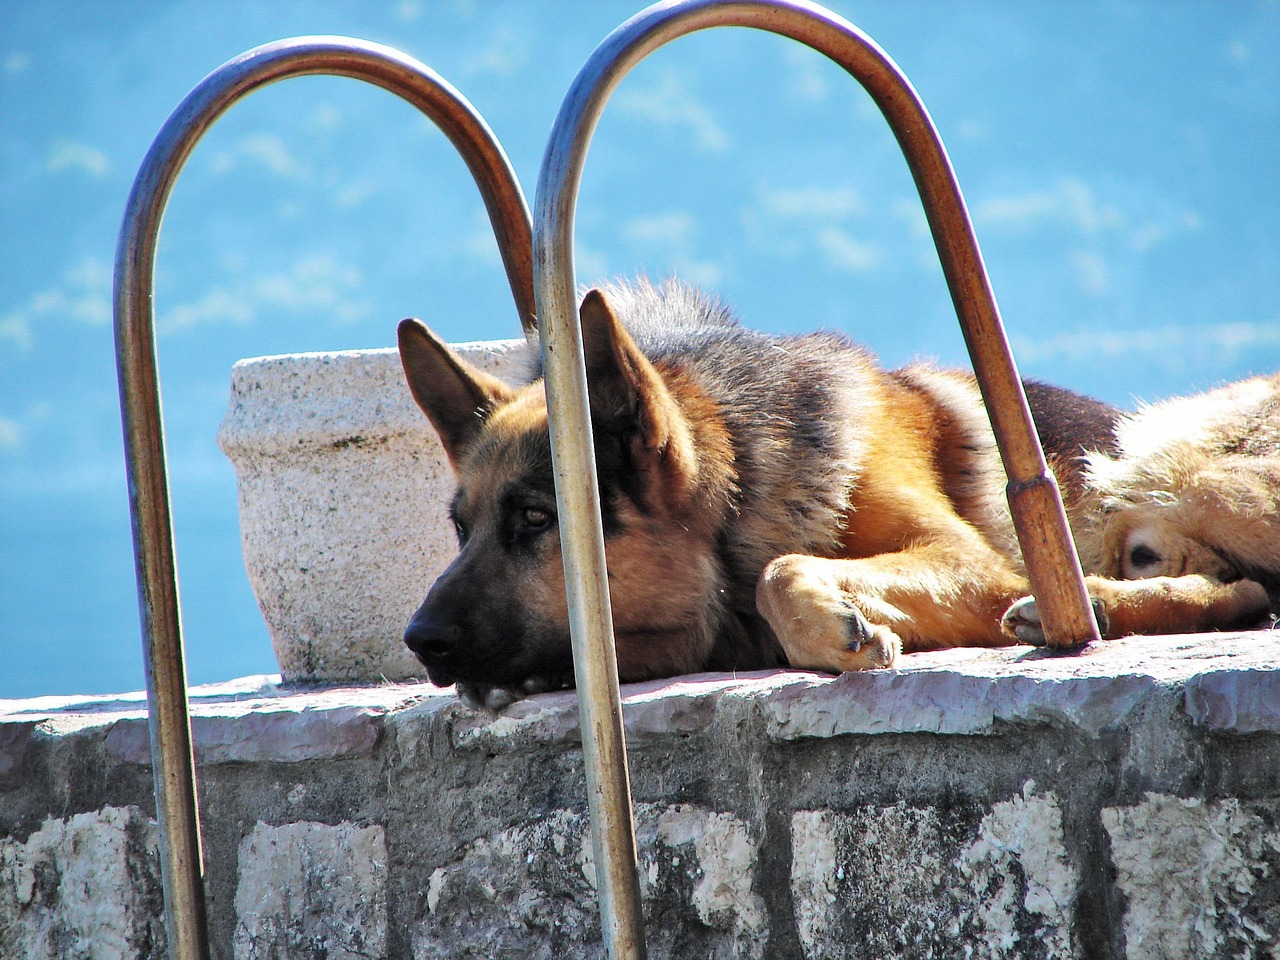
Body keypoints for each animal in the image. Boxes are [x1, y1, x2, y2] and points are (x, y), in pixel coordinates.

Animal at [399, 277, 1269, 706]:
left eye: (535, 518)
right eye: (459, 529)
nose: (420, 641)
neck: (744, 486)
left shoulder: (968, 561)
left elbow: (780, 571)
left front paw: (829, 626)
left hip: (1190, 473)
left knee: (1244, 583)